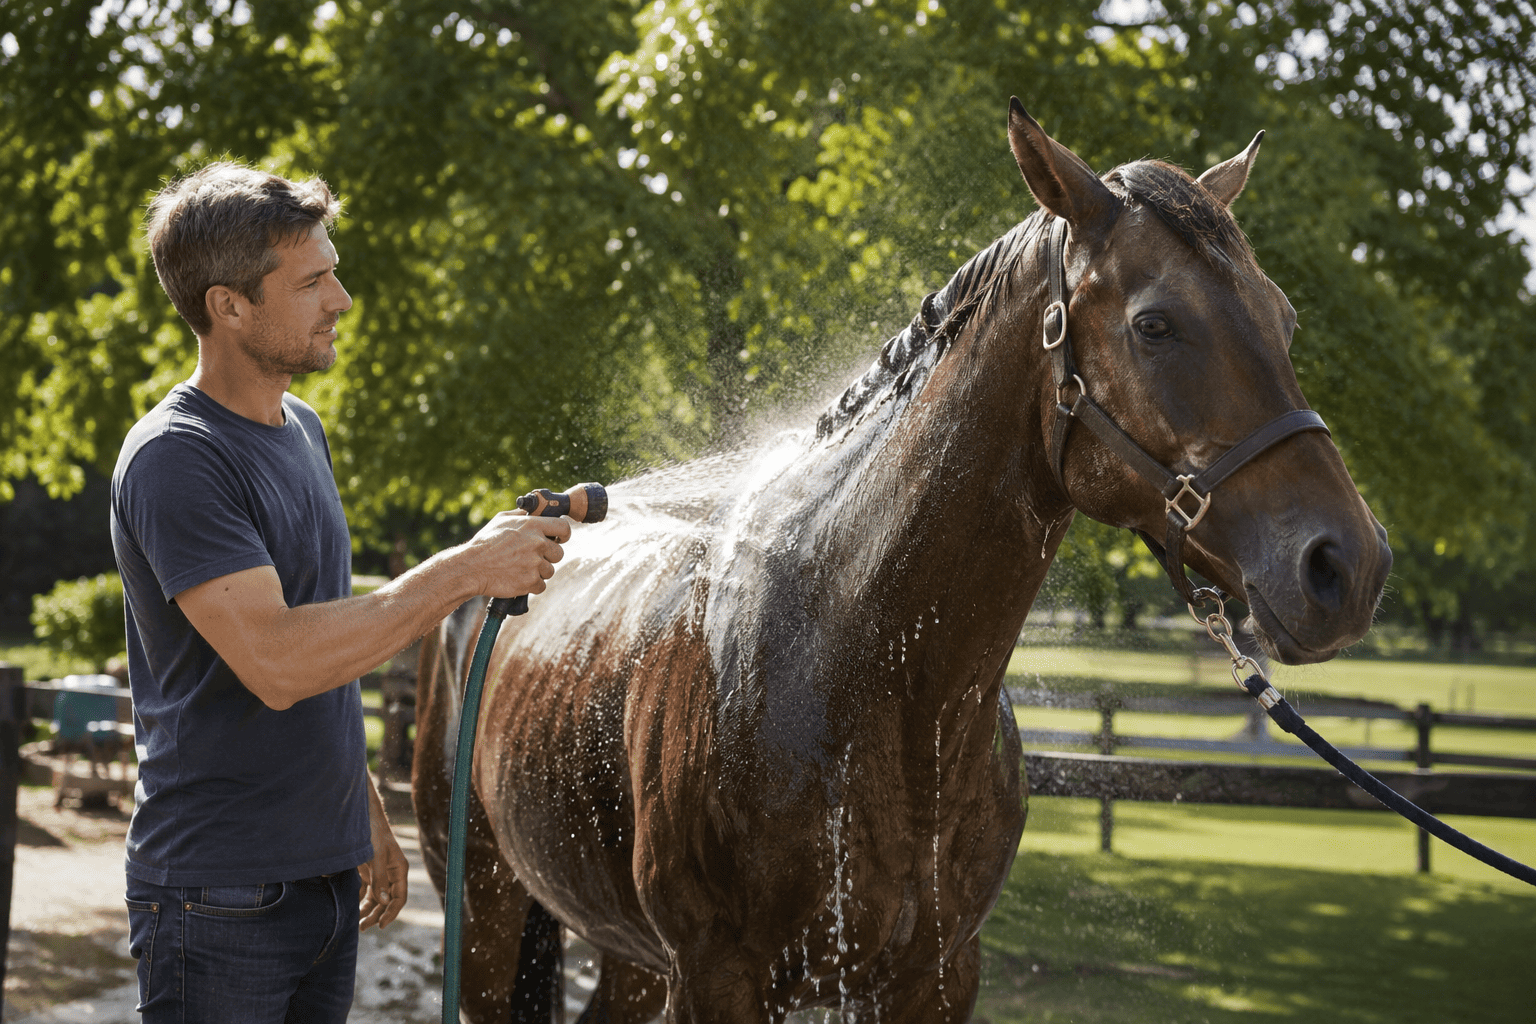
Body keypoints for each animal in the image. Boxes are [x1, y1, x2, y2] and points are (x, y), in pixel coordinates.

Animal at [413, 98, 1393, 1023]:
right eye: (1155, 325)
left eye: (1285, 319)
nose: (1347, 566)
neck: (860, 675)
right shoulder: (718, 978)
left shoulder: (937, 977)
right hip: (489, 913)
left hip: (626, 956)